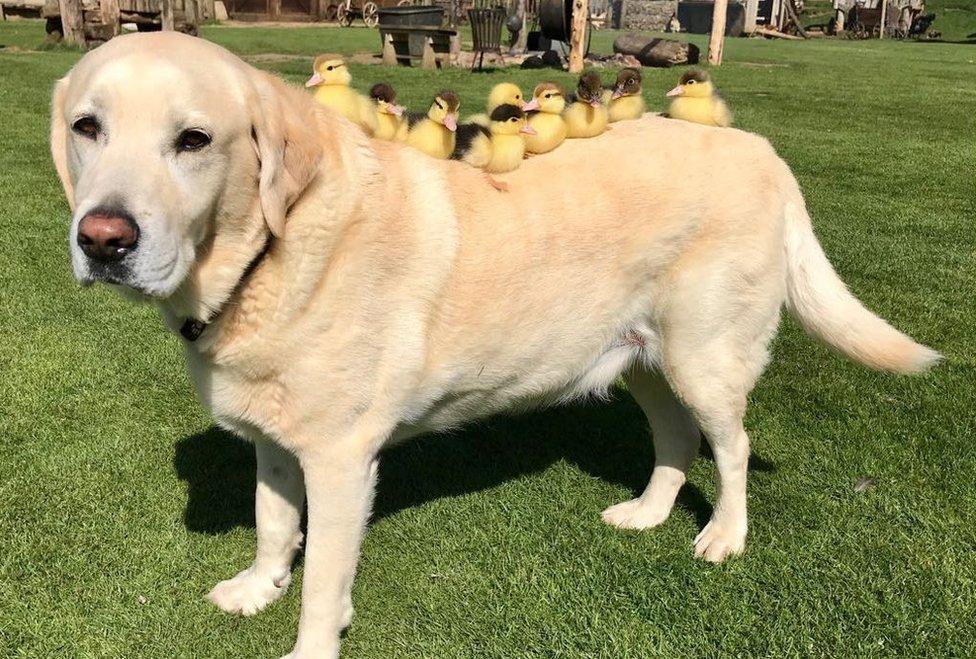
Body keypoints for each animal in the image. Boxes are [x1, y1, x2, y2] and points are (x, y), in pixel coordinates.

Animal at [53, 29, 936, 656]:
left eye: (194, 140)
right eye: (87, 128)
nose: (104, 240)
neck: (267, 253)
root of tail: (760, 148)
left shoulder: (340, 460)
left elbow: (323, 587)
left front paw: (306, 640)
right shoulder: (275, 438)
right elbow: (274, 522)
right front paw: (258, 585)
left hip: (703, 356)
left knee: (734, 444)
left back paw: (724, 535)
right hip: (643, 357)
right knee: (677, 438)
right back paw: (650, 512)